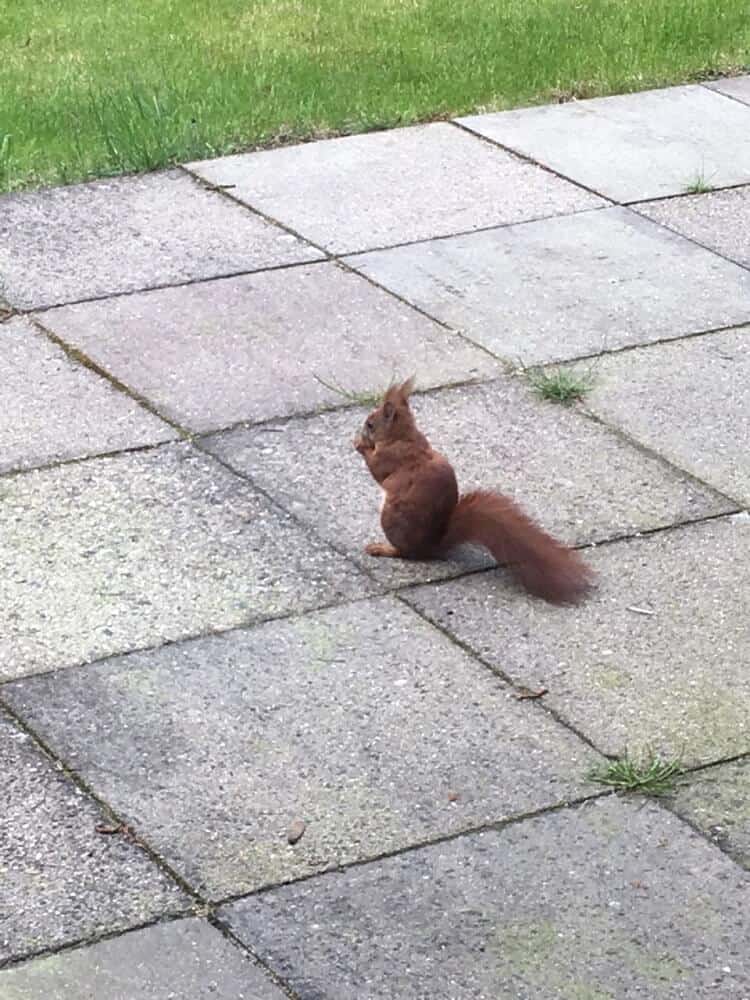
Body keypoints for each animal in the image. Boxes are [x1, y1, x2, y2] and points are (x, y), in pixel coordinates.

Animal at [353, 378, 594, 605]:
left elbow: (376, 468)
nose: (361, 430)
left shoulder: (392, 458)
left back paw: (381, 548)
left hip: (392, 520)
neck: (403, 436)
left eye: (370, 424)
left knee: (405, 553)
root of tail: (431, 546)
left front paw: (358, 444)